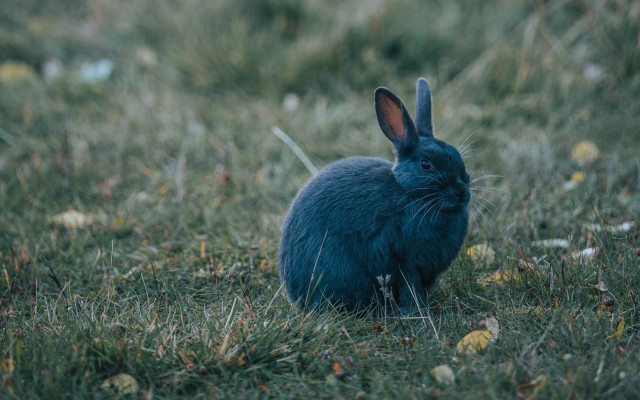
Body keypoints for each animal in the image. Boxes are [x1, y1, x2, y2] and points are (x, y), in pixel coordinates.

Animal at [277, 78, 470, 313]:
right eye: (426, 165)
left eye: (458, 156)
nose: (462, 191)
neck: (410, 194)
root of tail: (294, 293)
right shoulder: (402, 260)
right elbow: (409, 288)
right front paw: (415, 312)